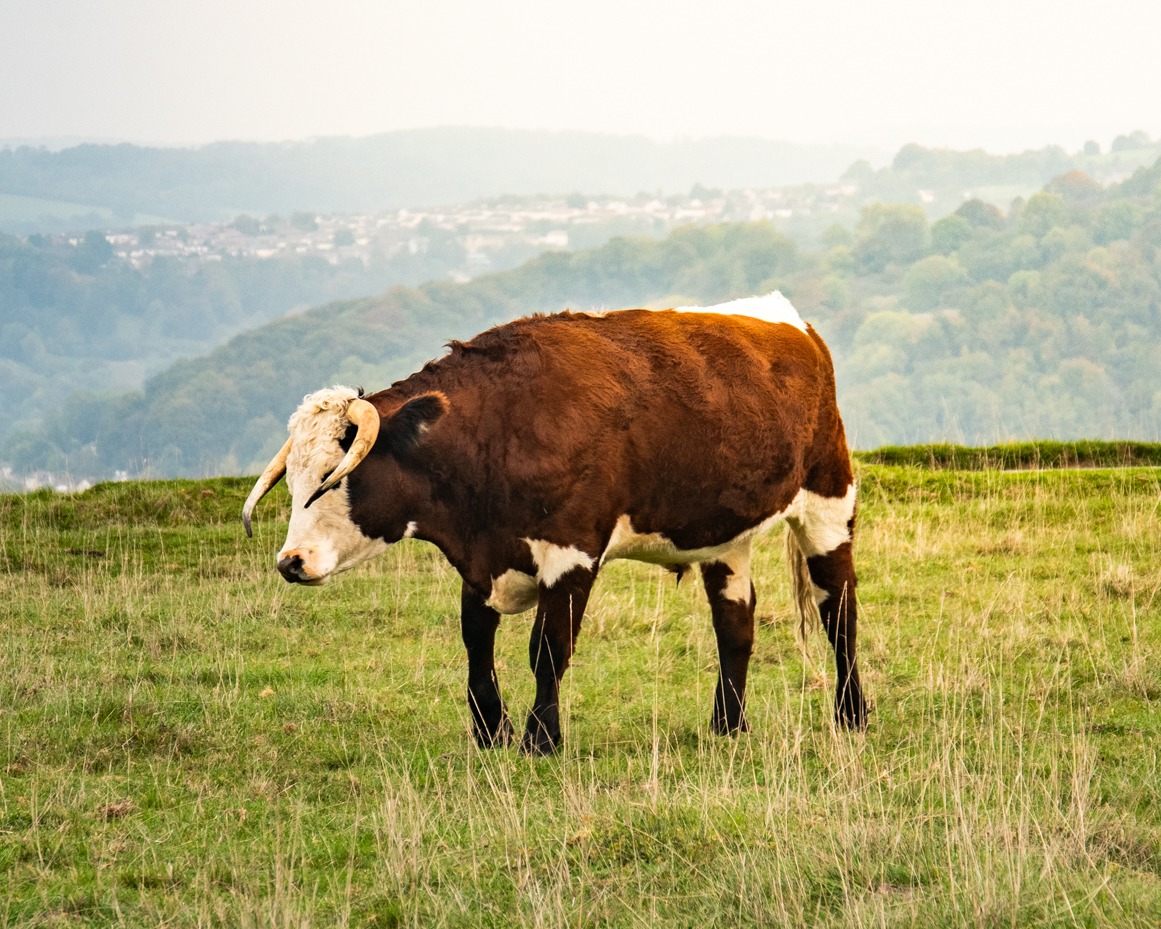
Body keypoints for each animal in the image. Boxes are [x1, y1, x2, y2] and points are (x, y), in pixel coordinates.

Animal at [242, 292, 865, 754]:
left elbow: (547, 648)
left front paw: (541, 740)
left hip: (828, 502)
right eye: (294, 480)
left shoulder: (573, 550)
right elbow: (476, 643)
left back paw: (852, 715)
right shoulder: (482, 562)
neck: (498, 428)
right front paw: (490, 733)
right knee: (735, 625)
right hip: (722, 536)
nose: (290, 562)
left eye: (334, 476)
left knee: (839, 611)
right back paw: (727, 727)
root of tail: (793, 321)